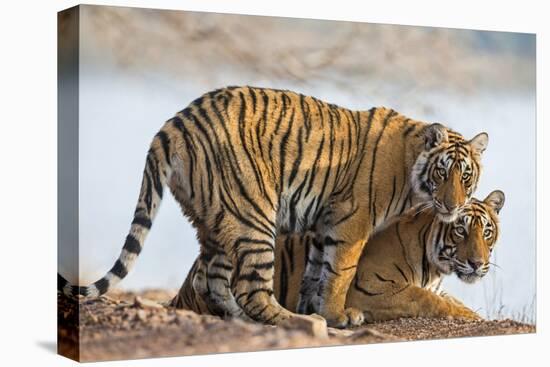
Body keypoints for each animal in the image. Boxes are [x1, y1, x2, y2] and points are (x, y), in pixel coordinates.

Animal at [172, 191, 504, 324]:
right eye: (460, 230)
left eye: (486, 232)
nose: (477, 263)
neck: (434, 267)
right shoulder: (370, 289)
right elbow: (429, 300)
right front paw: (474, 319)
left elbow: (451, 300)